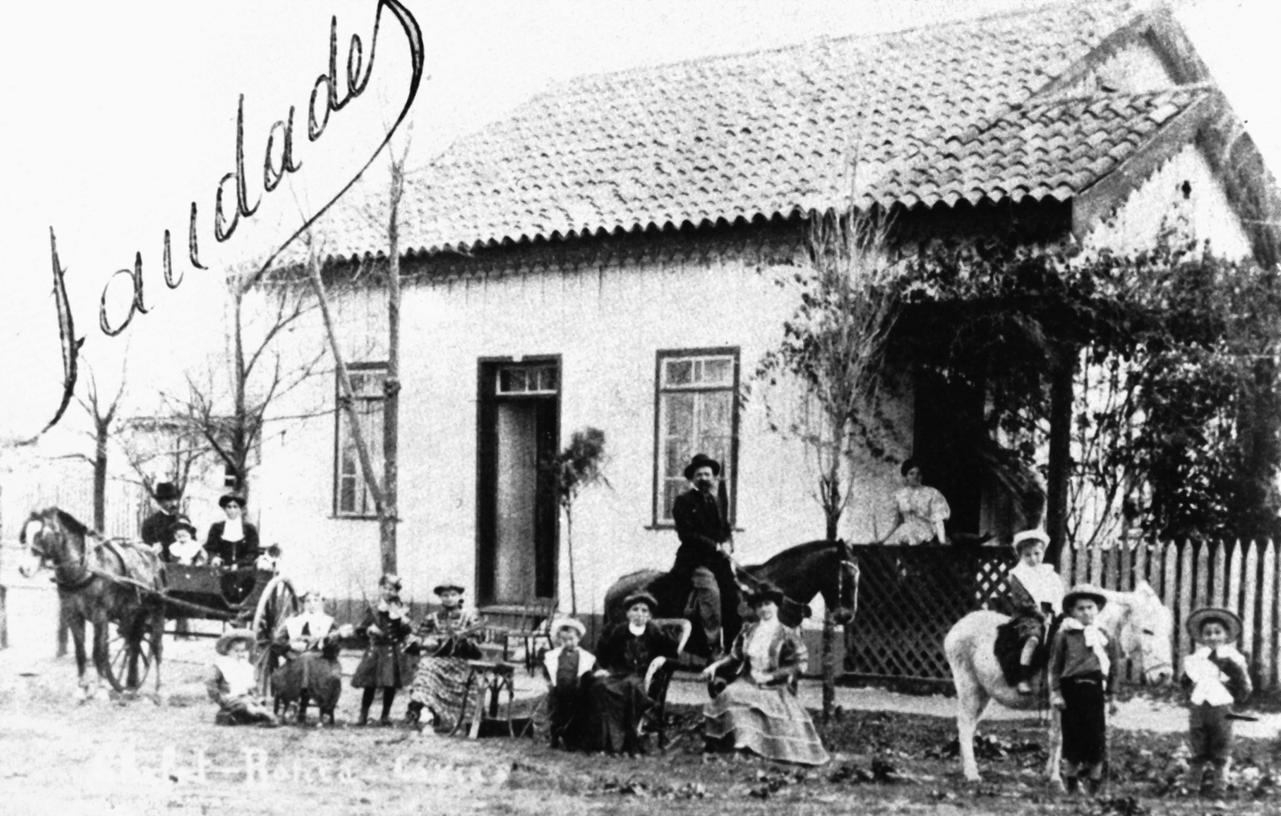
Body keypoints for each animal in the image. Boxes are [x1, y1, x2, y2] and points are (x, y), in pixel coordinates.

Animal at [20, 507, 166, 696]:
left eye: (41, 534)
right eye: (26, 534)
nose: (24, 568)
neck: (86, 569)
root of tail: (154, 554)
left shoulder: (100, 615)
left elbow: (98, 651)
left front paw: (101, 689)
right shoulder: (73, 615)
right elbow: (80, 651)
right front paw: (82, 688)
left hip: (157, 611)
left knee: (156, 646)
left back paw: (158, 689)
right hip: (136, 614)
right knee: (134, 644)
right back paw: (130, 684)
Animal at [942, 579, 1173, 783]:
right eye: (1147, 630)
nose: (1165, 675)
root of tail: (958, 625)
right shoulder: (1059, 699)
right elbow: (1058, 737)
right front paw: (1055, 779)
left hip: (983, 692)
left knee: (969, 725)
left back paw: (965, 767)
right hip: (969, 686)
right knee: (964, 724)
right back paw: (972, 774)